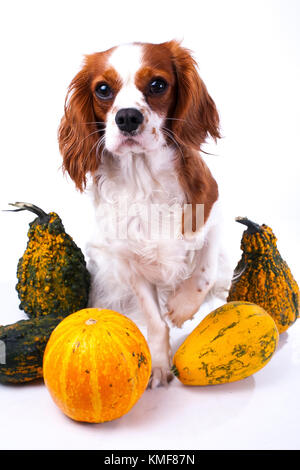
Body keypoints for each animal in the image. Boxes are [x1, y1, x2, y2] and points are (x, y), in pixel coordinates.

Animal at [58, 39, 232, 386]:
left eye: (157, 85)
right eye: (102, 89)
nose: (127, 117)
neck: (144, 178)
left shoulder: (214, 214)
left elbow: (203, 271)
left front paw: (182, 307)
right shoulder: (129, 260)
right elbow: (154, 319)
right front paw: (161, 365)